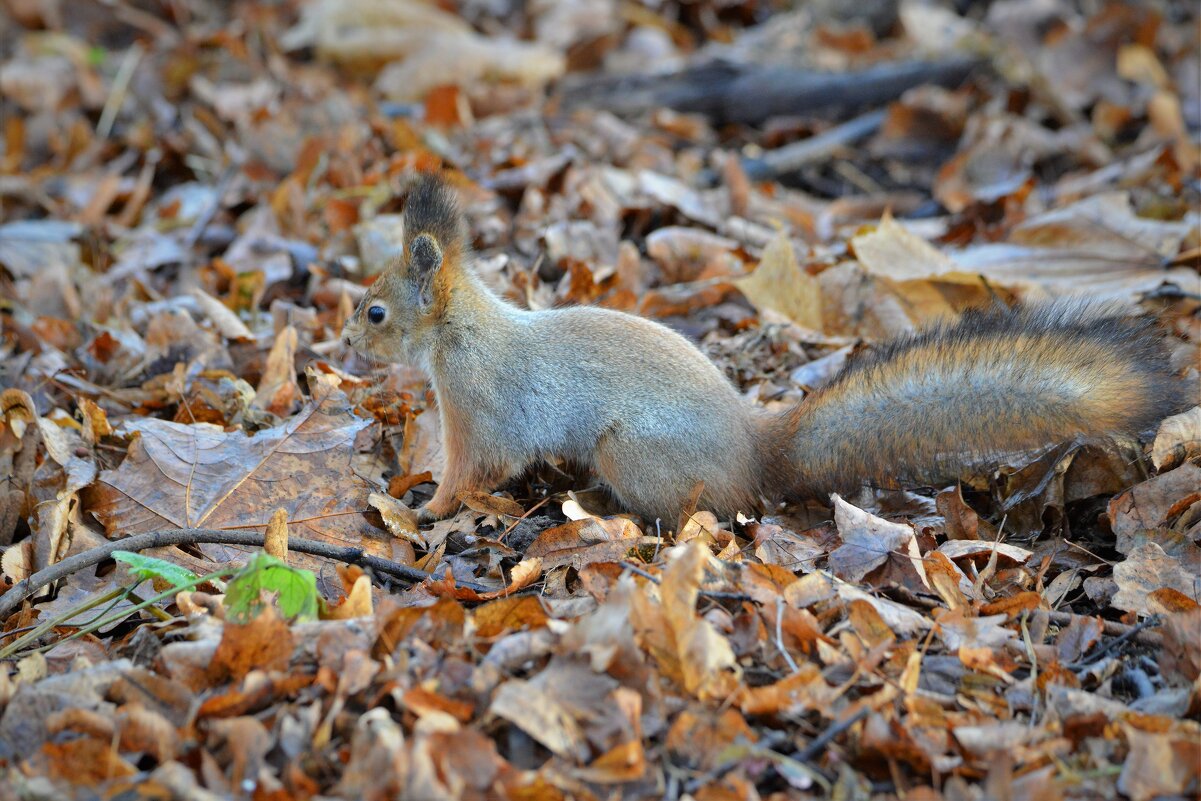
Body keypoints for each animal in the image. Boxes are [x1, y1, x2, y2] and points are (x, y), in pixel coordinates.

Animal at [338, 174, 1181, 525]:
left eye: (375, 310)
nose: (342, 340)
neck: (461, 331)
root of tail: (755, 450)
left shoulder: (476, 412)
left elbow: (469, 470)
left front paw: (425, 506)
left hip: (633, 453)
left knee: (705, 510)